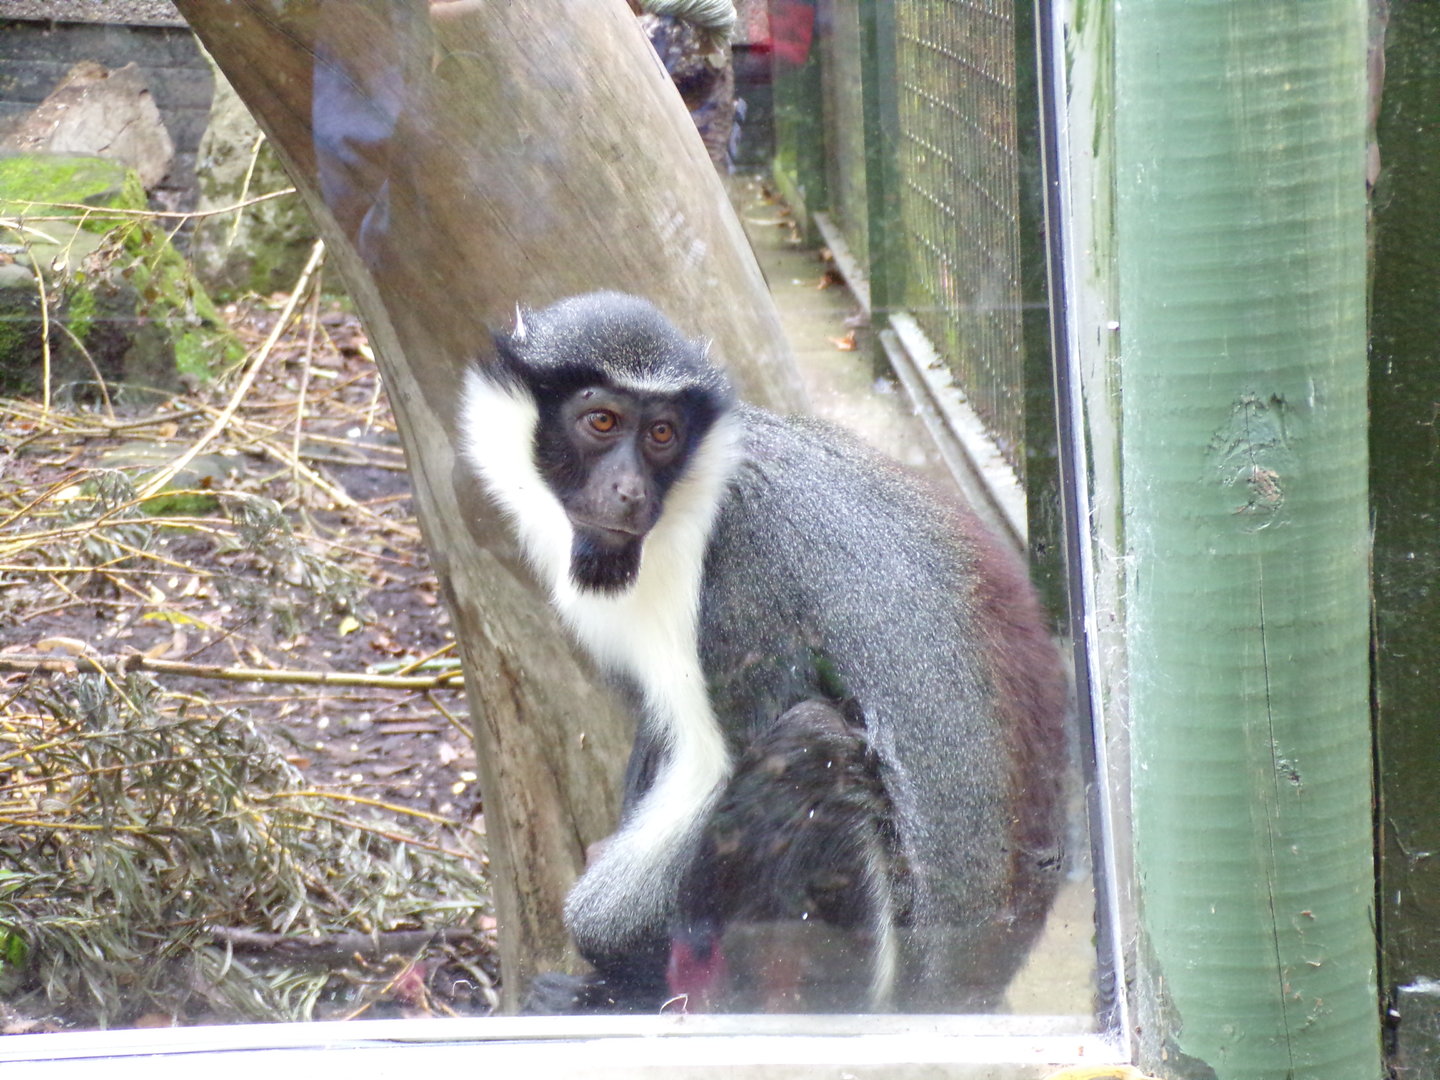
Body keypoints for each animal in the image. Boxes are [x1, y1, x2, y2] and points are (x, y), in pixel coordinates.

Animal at [456, 291, 1069, 1014]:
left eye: (661, 434)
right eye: (601, 421)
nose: (629, 491)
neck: (689, 500)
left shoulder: (747, 575)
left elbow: (724, 759)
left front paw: (604, 953)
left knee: (810, 747)